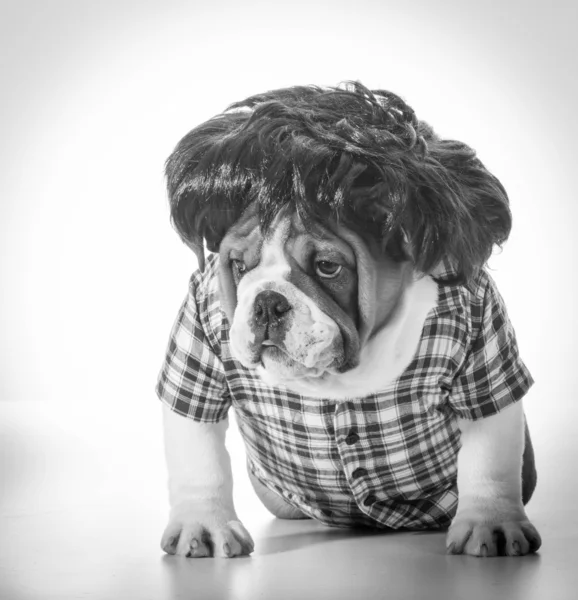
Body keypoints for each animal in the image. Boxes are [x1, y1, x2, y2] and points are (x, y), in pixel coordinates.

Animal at [156, 81, 540, 556]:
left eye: (327, 267)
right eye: (239, 266)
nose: (267, 303)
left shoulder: (479, 330)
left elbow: (490, 457)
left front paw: (492, 523)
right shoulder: (199, 329)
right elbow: (199, 458)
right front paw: (203, 524)